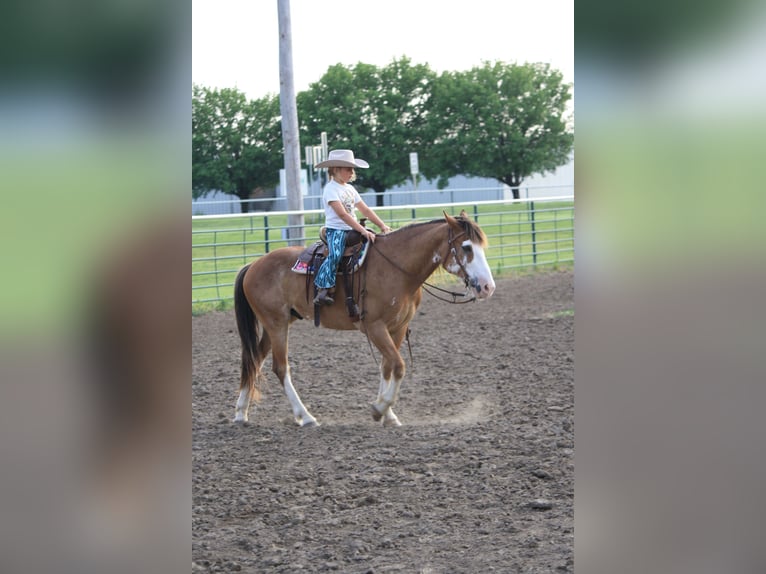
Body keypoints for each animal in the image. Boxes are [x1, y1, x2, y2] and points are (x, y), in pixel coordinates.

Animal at [232, 209, 496, 427]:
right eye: (466, 247)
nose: (487, 287)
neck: (396, 268)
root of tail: (253, 265)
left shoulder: (398, 327)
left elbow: (387, 366)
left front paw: (389, 415)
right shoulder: (375, 327)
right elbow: (398, 366)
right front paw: (380, 409)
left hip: (277, 324)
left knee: (255, 360)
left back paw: (241, 413)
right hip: (276, 324)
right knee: (280, 367)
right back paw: (305, 417)